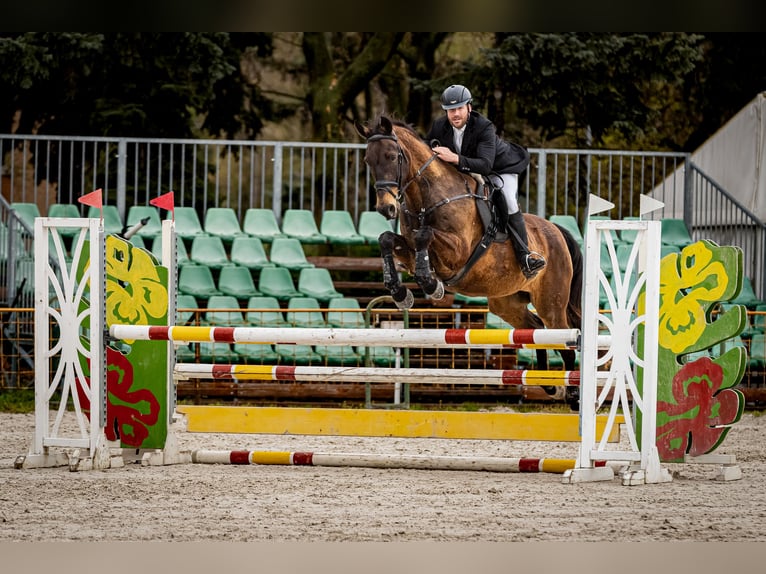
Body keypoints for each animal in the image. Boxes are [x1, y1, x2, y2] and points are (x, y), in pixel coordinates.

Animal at [356, 113, 584, 382]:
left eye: (392, 156)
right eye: (368, 160)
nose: (386, 208)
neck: (426, 197)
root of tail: (558, 230)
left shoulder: (458, 251)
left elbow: (425, 235)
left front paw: (431, 285)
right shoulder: (409, 246)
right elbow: (387, 239)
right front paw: (401, 292)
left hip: (552, 303)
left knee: (565, 343)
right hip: (506, 302)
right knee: (535, 329)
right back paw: (545, 382)